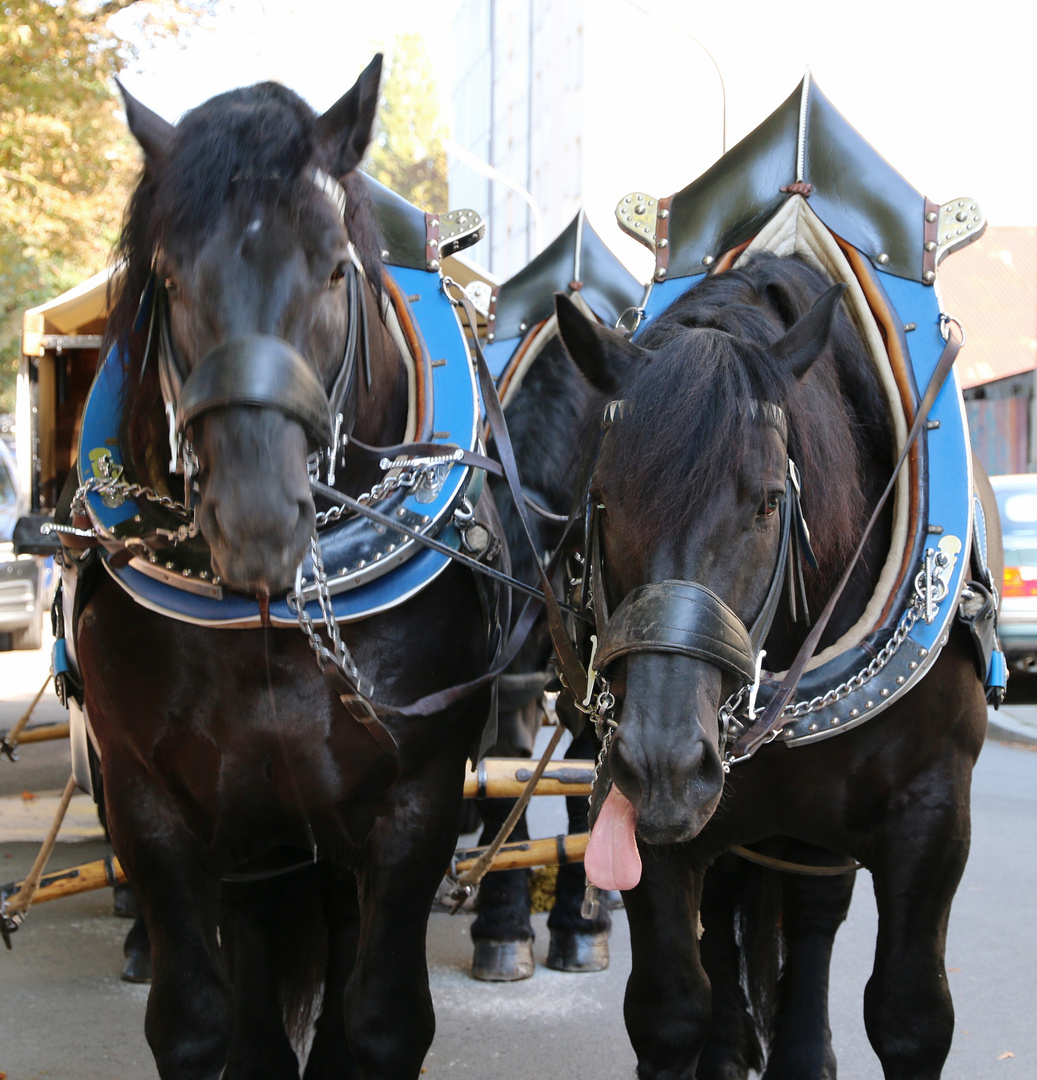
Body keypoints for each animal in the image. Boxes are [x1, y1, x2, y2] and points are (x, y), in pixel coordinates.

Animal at [70, 56, 496, 1071]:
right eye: (169, 276)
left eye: (336, 269)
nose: (259, 522)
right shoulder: (151, 805)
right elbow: (197, 1021)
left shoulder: (415, 801)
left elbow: (381, 1018)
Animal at [553, 248, 1002, 1075]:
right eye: (601, 498)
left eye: (765, 501)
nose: (663, 761)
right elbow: (669, 1009)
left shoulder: (930, 813)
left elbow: (910, 1016)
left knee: (816, 913)